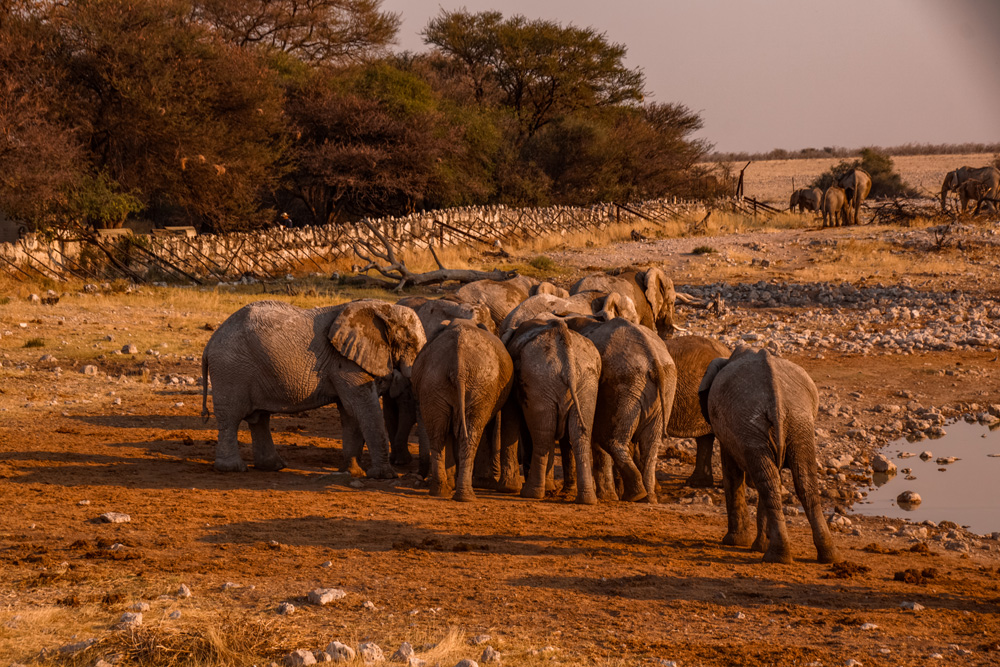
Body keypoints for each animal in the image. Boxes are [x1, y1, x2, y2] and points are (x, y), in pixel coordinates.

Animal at [201, 300, 424, 478]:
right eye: (410, 343)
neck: (384, 308)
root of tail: (209, 343)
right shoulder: (346, 362)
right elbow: (361, 408)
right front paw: (384, 476)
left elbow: (350, 412)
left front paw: (352, 472)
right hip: (231, 371)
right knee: (231, 418)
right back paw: (233, 469)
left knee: (260, 419)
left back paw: (274, 467)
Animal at [410, 320, 512, 504]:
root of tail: (460, 367)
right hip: (478, 385)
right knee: (470, 434)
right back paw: (465, 495)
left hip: (437, 383)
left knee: (439, 434)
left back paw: (441, 492)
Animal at [700, 348, 840, 568]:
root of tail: (777, 402)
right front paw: (754, 546)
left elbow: (731, 472)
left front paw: (736, 543)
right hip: (796, 423)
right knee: (797, 482)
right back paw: (825, 557)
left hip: (756, 426)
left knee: (769, 482)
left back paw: (774, 556)